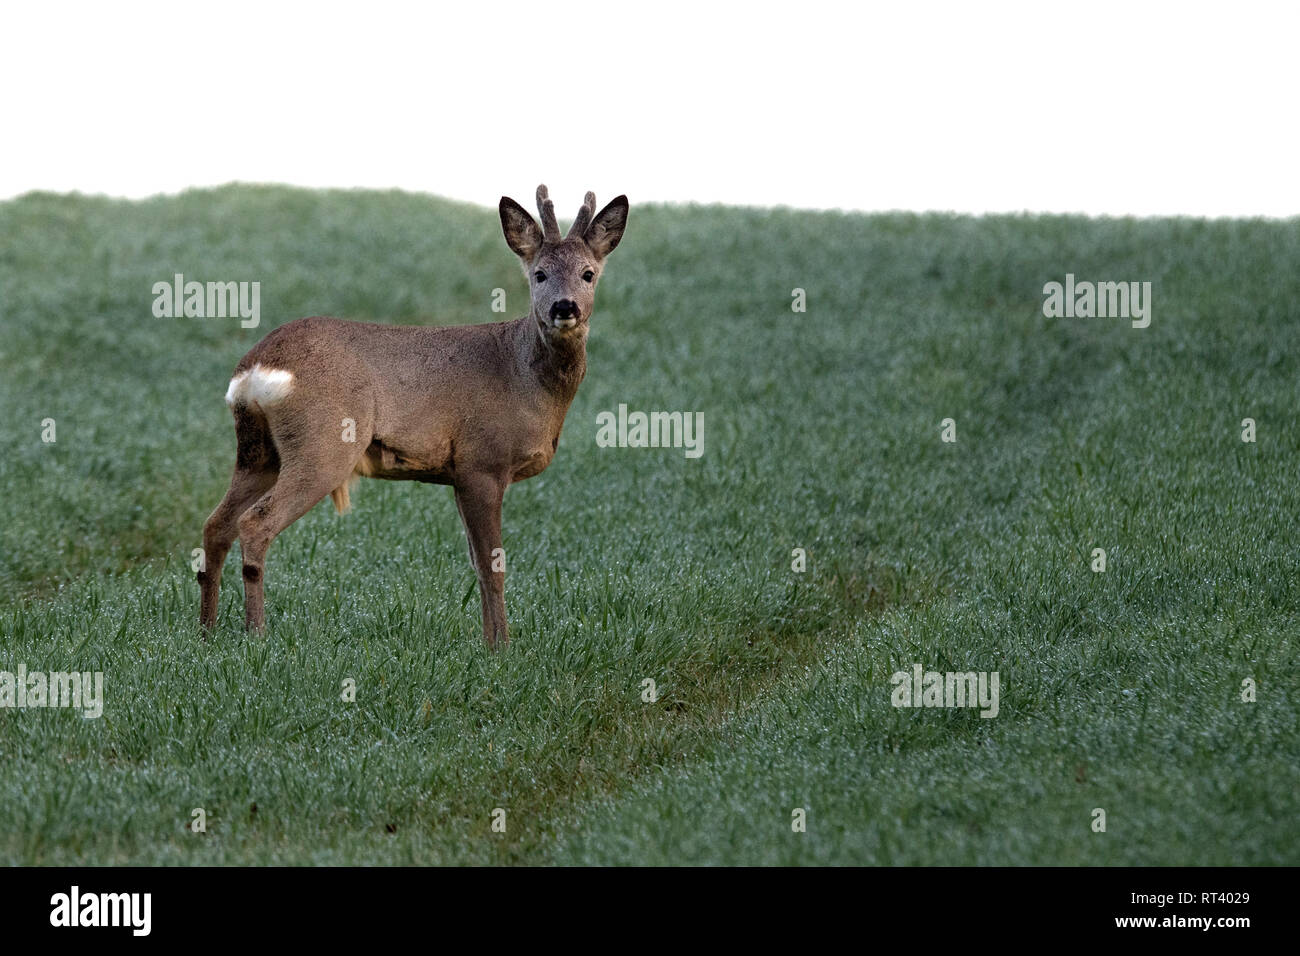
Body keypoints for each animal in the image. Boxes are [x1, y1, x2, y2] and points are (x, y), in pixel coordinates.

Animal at [197, 184, 629, 650]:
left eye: (588, 273)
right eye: (540, 274)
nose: (565, 307)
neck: (525, 376)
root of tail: (255, 366)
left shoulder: (459, 473)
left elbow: (476, 563)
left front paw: (487, 642)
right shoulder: (483, 462)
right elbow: (492, 566)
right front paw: (502, 649)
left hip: (258, 453)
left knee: (216, 524)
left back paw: (207, 631)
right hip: (323, 444)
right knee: (254, 522)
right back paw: (255, 634)